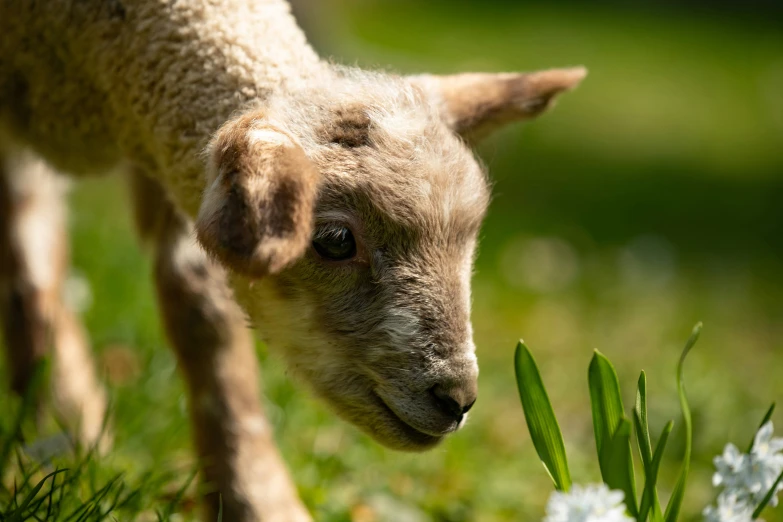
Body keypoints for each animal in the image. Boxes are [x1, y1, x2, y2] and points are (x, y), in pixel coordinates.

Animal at [0, 2, 588, 516]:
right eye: (335, 239)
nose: (457, 398)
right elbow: (30, 261)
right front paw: (58, 432)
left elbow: (202, 313)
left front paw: (254, 497)